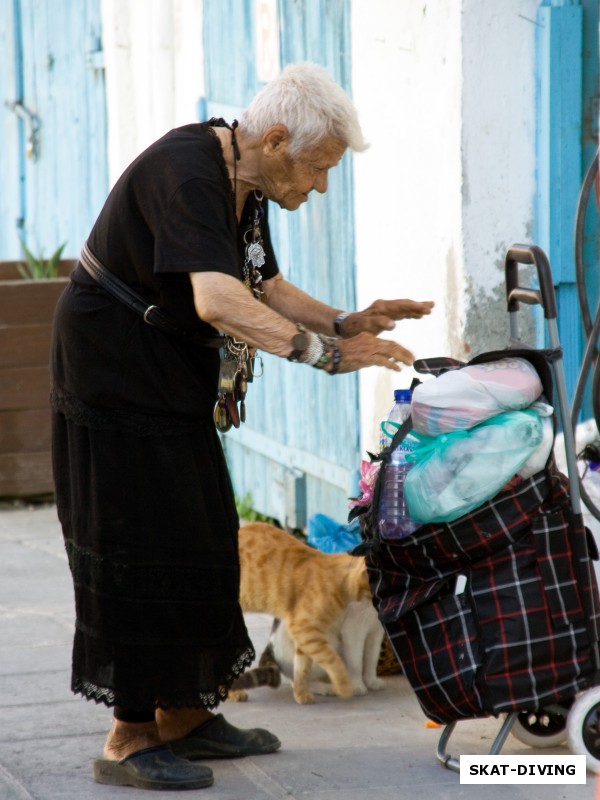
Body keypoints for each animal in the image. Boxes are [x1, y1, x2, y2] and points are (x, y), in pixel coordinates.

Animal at [237, 520, 372, 704]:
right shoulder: (304, 629)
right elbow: (333, 660)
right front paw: (343, 686)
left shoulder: (306, 635)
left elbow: (302, 668)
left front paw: (301, 694)